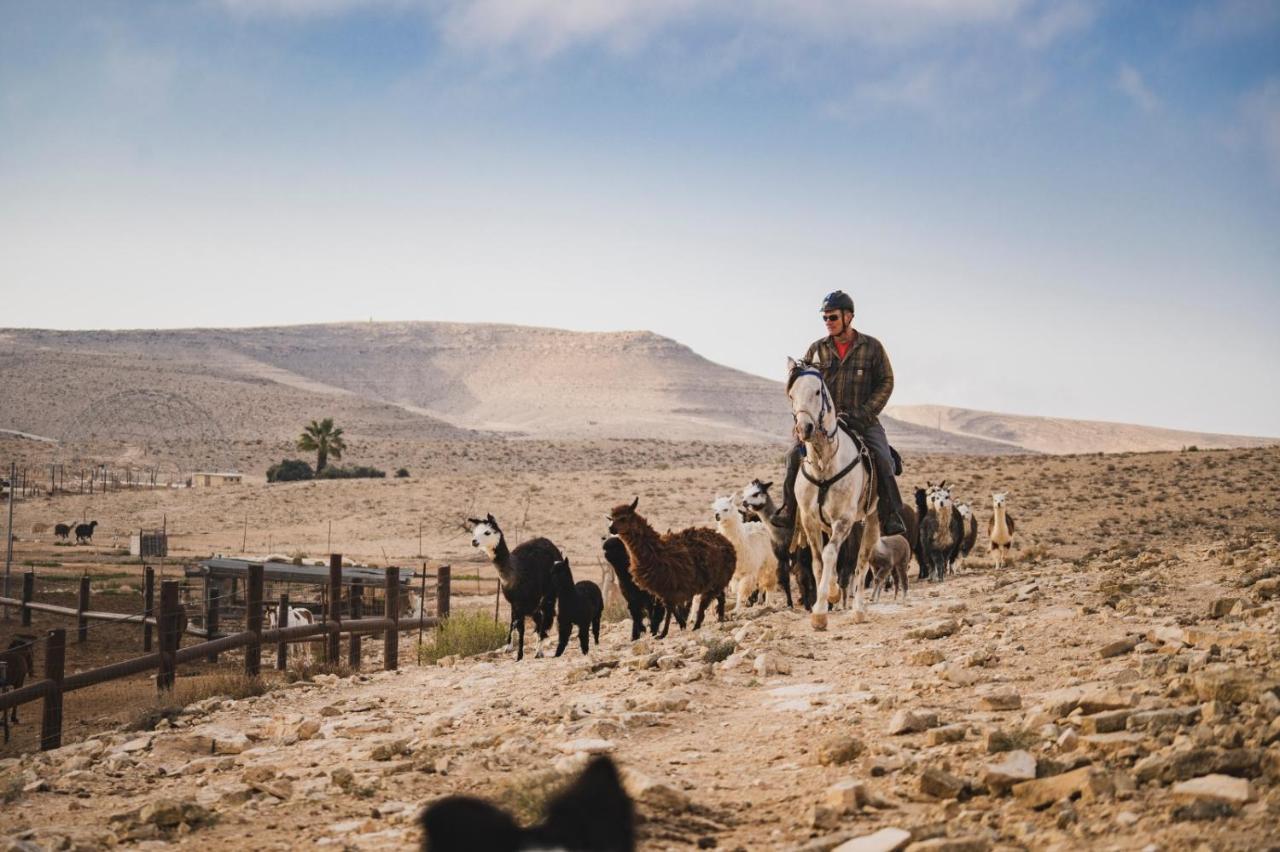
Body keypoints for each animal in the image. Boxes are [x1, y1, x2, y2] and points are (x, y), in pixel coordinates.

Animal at [778, 355, 880, 626]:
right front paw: (827, 597)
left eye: (817, 391)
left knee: (862, 562)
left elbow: (831, 553)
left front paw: (821, 611)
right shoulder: (810, 520)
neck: (824, 463)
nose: (804, 428)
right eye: (791, 394)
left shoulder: (843, 520)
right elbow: (817, 560)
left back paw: (858, 610)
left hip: (870, 521)